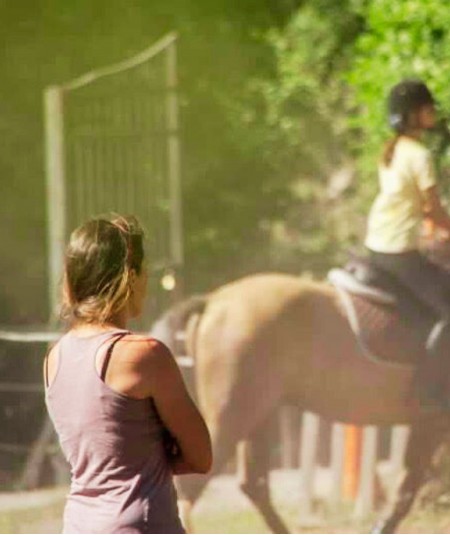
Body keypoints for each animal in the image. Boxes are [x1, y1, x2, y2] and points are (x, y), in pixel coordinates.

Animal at [152, 274, 450, 532]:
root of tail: (213, 300)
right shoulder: (432, 424)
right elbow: (408, 490)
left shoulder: (428, 424)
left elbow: (408, 488)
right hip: (233, 417)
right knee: (194, 485)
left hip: (259, 415)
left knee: (254, 485)